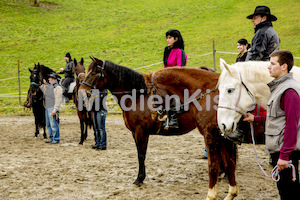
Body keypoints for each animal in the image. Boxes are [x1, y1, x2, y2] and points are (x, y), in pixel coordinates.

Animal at [79, 56, 237, 200]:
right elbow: (140, 153)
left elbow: (141, 154)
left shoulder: (140, 132)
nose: (82, 90)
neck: (137, 97)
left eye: (94, 72)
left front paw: (139, 178)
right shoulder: (135, 133)